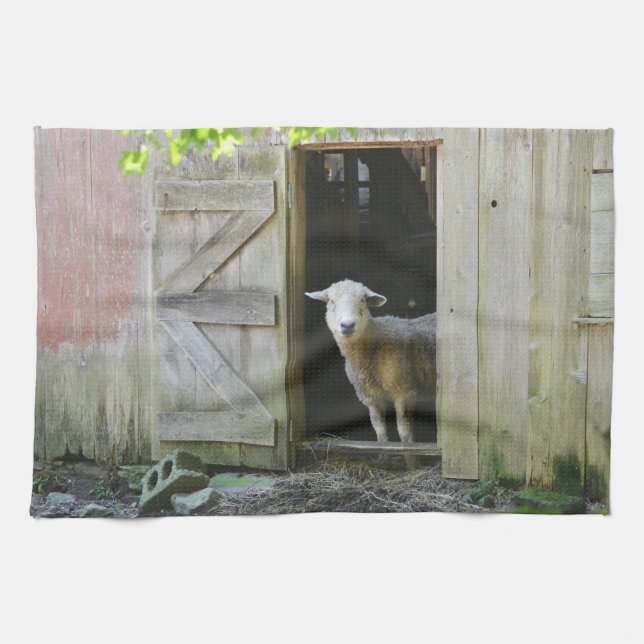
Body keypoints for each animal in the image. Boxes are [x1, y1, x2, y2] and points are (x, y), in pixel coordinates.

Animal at [306, 279, 436, 445]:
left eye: (362, 300)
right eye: (331, 301)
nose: (347, 325)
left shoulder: (404, 392)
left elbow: (404, 434)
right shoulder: (371, 398)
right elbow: (380, 432)